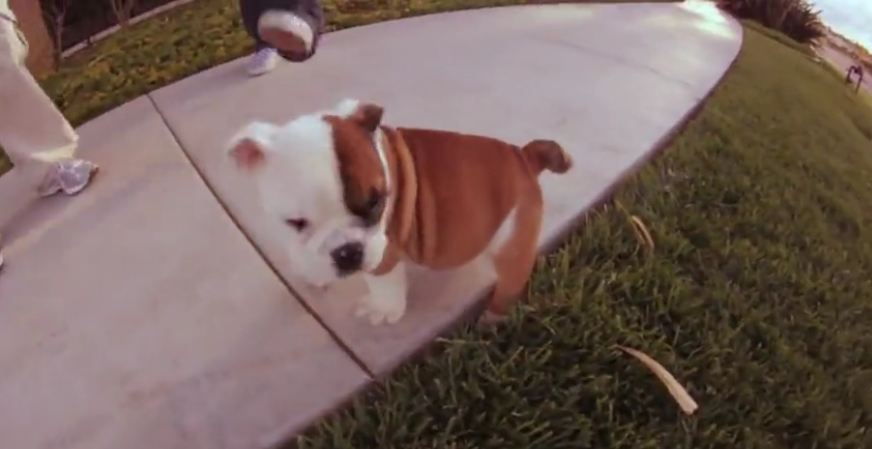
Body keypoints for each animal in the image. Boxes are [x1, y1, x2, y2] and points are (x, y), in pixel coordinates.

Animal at [228, 100, 576, 326]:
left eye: (375, 203)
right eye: (295, 223)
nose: (348, 252)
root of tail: (524, 155)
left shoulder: (385, 250)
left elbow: (383, 282)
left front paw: (382, 310)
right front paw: (313, 272)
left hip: (512, 242)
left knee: (509, 283)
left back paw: (492, 319)